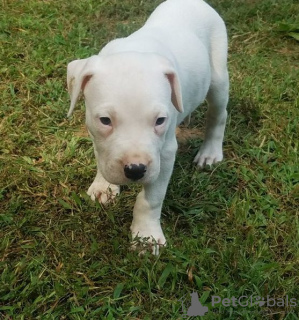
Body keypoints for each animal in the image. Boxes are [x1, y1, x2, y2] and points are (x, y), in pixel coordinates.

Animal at [66, 0, 230, 255]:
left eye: (159, 121)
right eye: (105, 120)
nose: (135, 170)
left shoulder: (165, 155)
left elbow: (150, 200)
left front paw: (146, 236)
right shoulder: (95, 133)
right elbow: (102, 156)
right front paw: (104, 185)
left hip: (218, 77)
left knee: (218, 115)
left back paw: (210, 153)